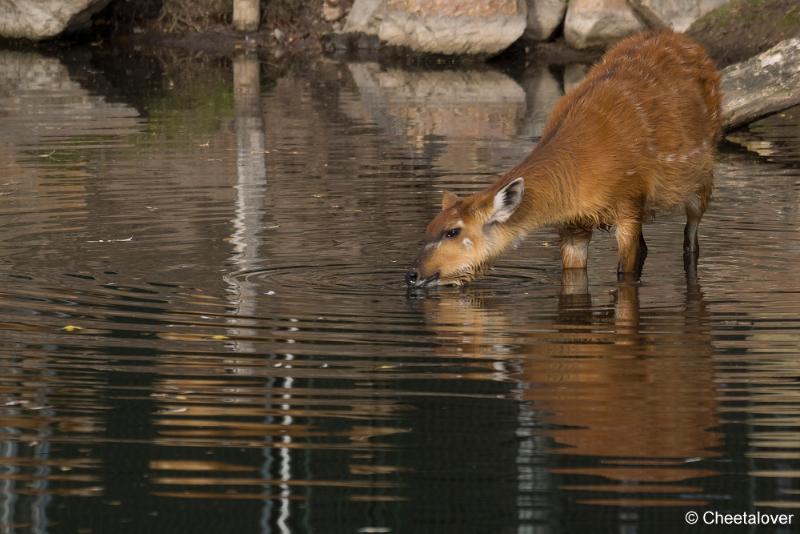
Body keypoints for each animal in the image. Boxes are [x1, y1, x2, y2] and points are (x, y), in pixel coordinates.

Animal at [406, 30, 720, 288]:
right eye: (428, 228)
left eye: (453, 231)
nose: (412, 275)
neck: (580, 167)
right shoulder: (573, 226)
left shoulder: (628, 206)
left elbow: (625, 272)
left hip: (702, 182)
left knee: (691, 238)